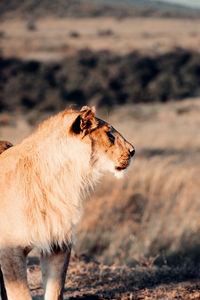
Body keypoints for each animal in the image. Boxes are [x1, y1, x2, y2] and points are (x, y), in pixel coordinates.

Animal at [0, 106, 135, 300]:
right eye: (109, 134)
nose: (133, 151)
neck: (60, 180)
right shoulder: (9, 250)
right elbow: (21, 295)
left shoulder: (58, 244)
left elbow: (54, 290)